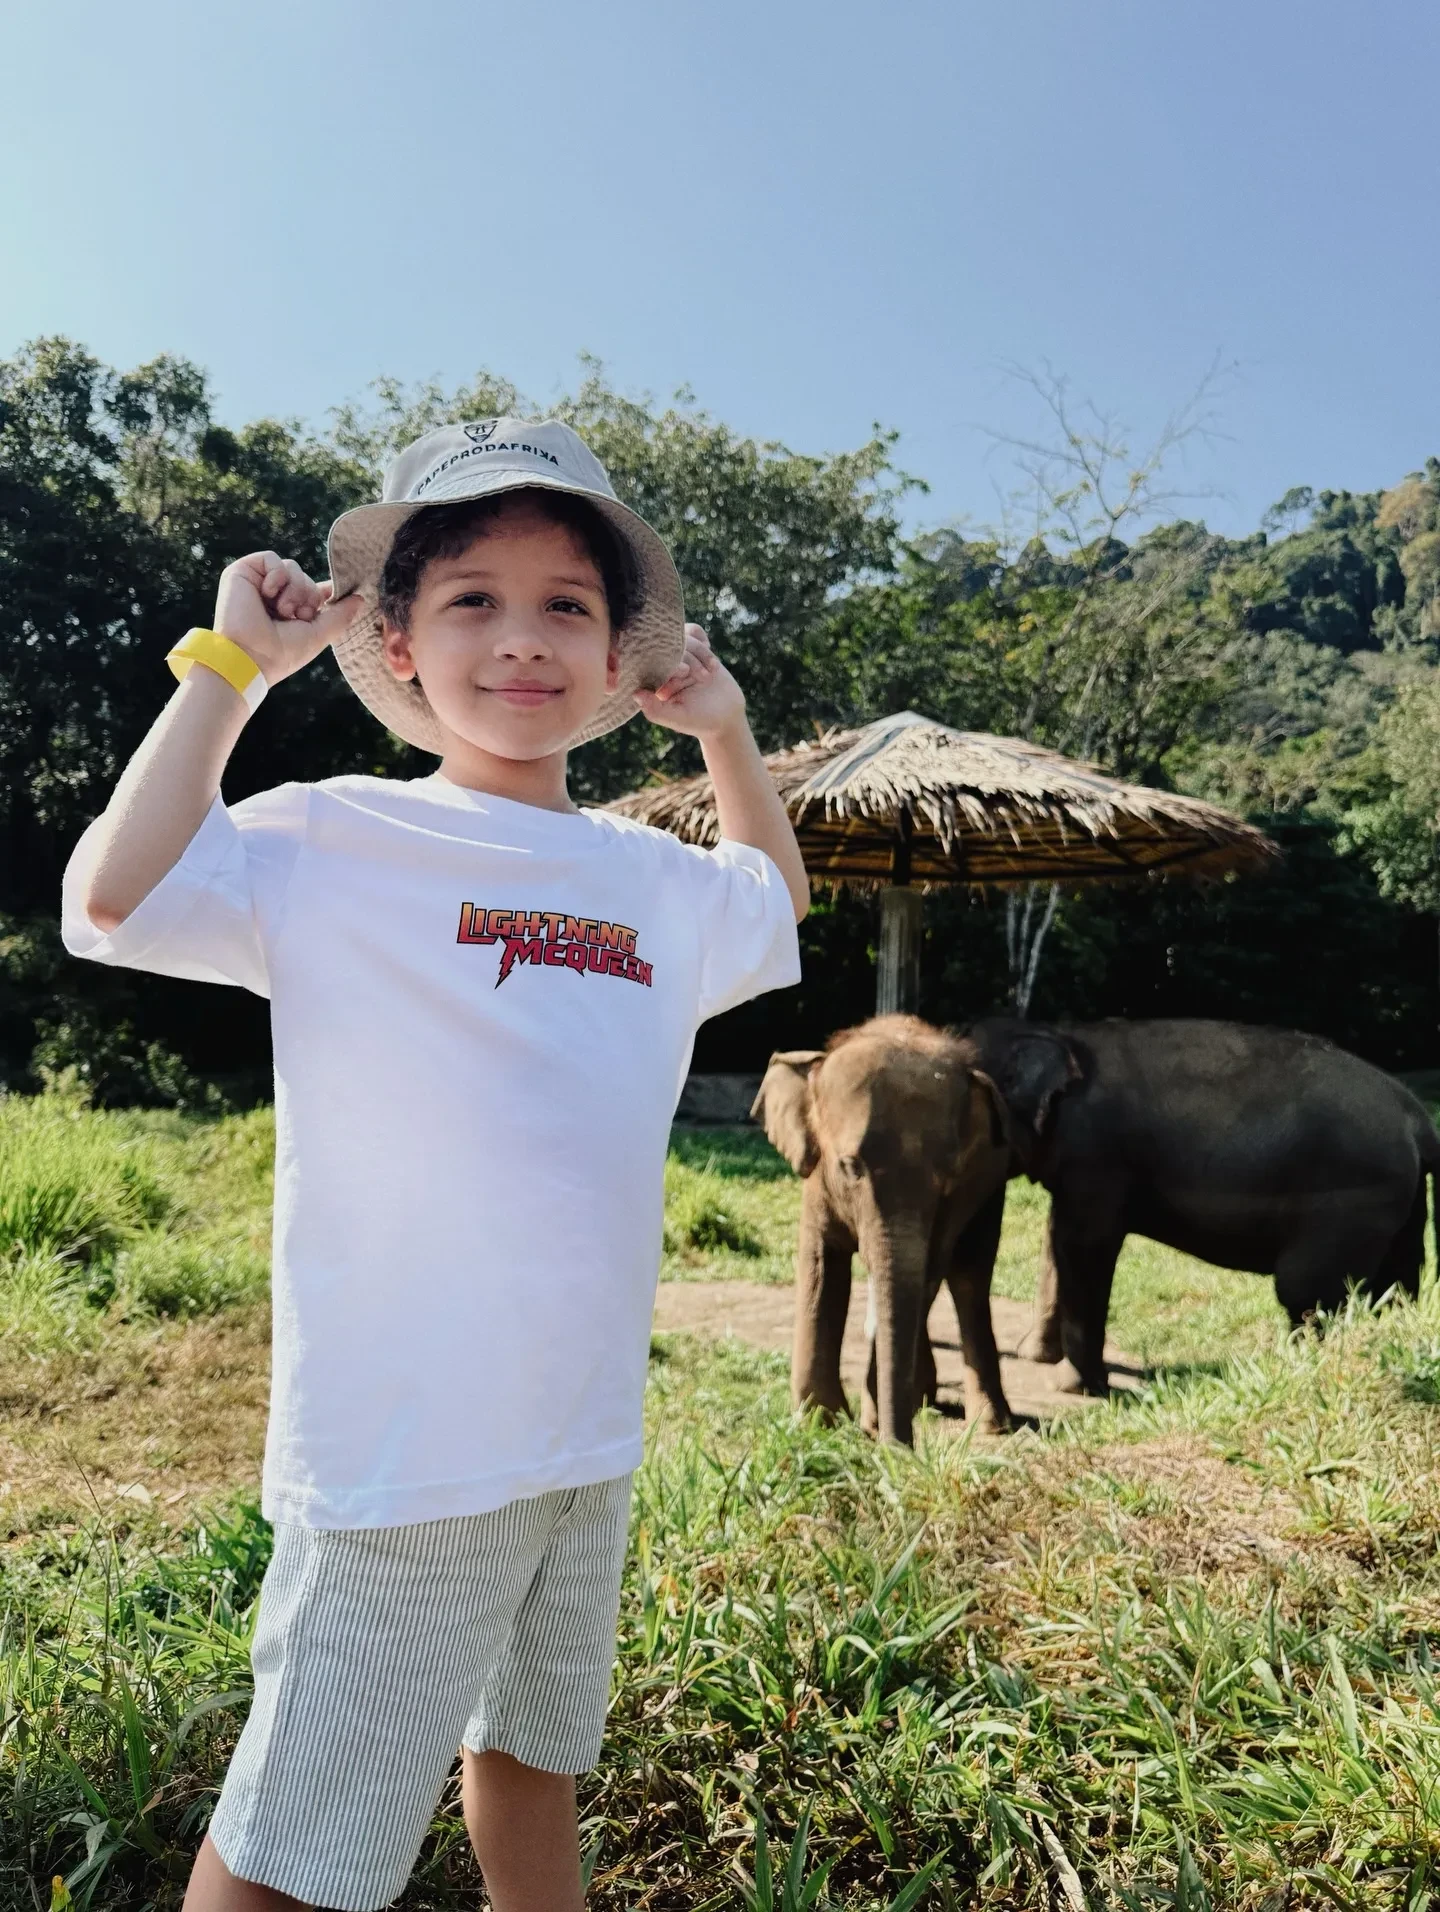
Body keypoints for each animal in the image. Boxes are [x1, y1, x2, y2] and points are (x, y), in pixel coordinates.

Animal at [750, 1014, 1014, 1444]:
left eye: (947, 1178)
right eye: (849, 1167)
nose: (900, 1448)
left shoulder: (960, 1195)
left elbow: (926, 1273)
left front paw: (867, 1423)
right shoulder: (817, 1179)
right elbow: (822, 1267)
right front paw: (819, 1424)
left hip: (992, 1190)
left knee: (968, 1280)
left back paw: (989, 1425)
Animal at [962, 1016, 1440, 1394]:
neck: (1059, 1033)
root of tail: (1417, 1118)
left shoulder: (1098, 1156)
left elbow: (1083, 1244)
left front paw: (1075, 1387)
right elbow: (1057, 1234)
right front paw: (1035, 1355)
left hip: (1349, 1202)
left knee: (1306, 1292)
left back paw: (1299, 1367)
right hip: (1399, 1201)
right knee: (1396, 1284)